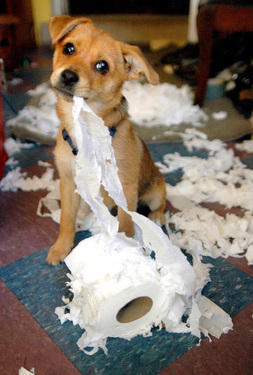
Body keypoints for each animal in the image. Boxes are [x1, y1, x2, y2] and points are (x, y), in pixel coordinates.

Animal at [46, 16, 166, 264]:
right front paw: (61, 248)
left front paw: (127, 249)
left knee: (160, 205)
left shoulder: (125, 188)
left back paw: (157, 217)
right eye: (68, 48)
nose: (68, 76)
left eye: (102, 66)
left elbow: (127, 224)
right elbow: (66, 220)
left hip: (156, 192)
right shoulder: (68, 182)